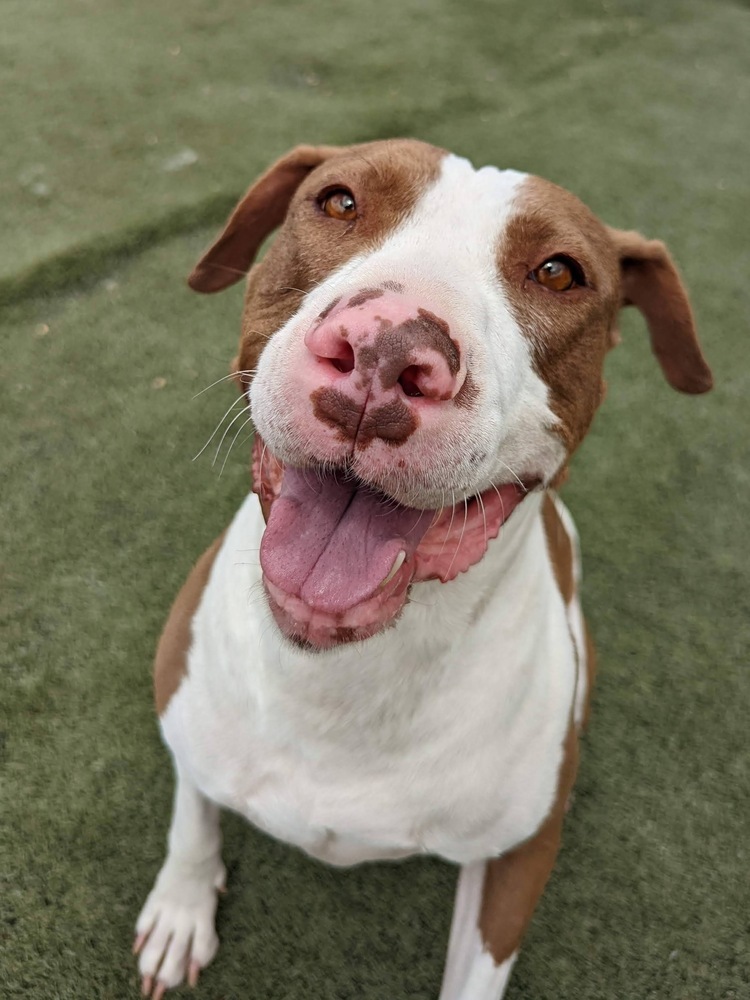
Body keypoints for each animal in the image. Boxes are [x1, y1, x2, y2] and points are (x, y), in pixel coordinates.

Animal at [132, 137, 712, 996]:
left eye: (559, 272)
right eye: (338, 202)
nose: (386, 349)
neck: (346, 675)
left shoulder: (517, 859)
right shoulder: (183, 697)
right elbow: (192, 805)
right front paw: (181, 904)